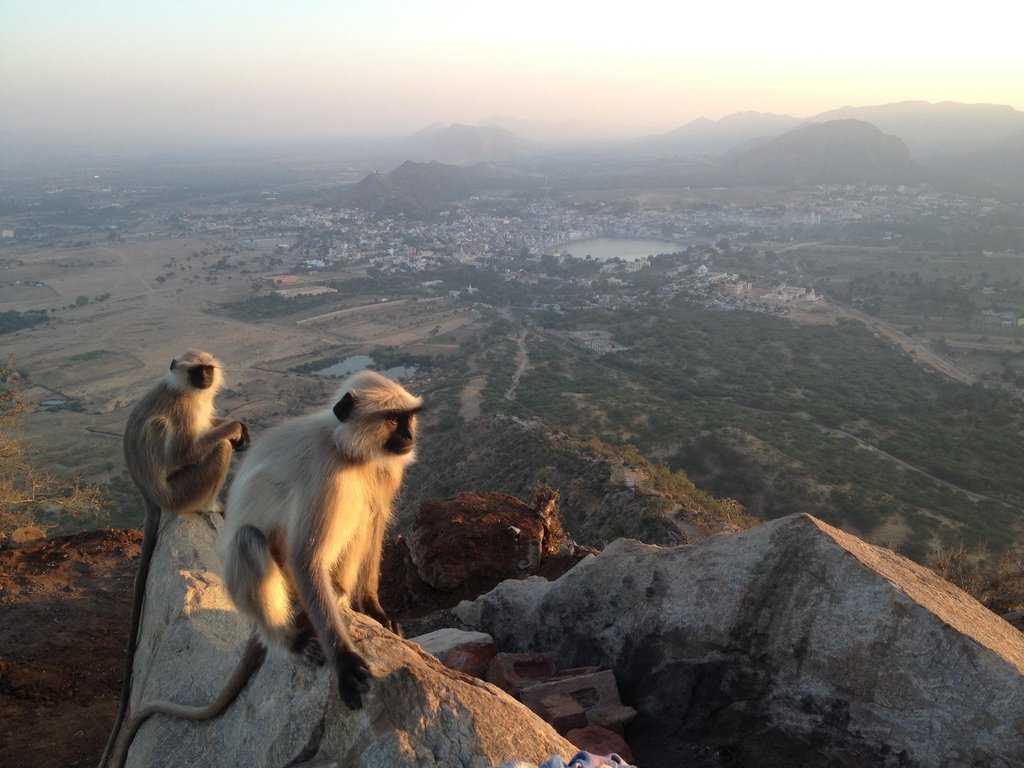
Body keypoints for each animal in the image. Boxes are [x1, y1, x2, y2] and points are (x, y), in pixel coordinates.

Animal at [98, 352, 250, 768]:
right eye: (196, 371)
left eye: (208, 370)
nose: (205, 378)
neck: (184, 388)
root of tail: (151, 498)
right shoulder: (184, 408)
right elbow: (186, 451)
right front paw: (234, 427)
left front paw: (231, 424)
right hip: (181, 491)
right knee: (212, 450)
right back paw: (208, 504)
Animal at [108, 370, 419, 765]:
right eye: (393, 419)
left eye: (409, 417)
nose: (410, 436)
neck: (347, 451)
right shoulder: (327, 473)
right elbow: (306, 557)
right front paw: (345, 662)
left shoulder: (383, 470)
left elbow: (376, 522)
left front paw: (373, 608)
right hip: (278, 586)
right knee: (248, 540)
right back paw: (287, 639)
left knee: (362, 516)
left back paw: (342, 597)